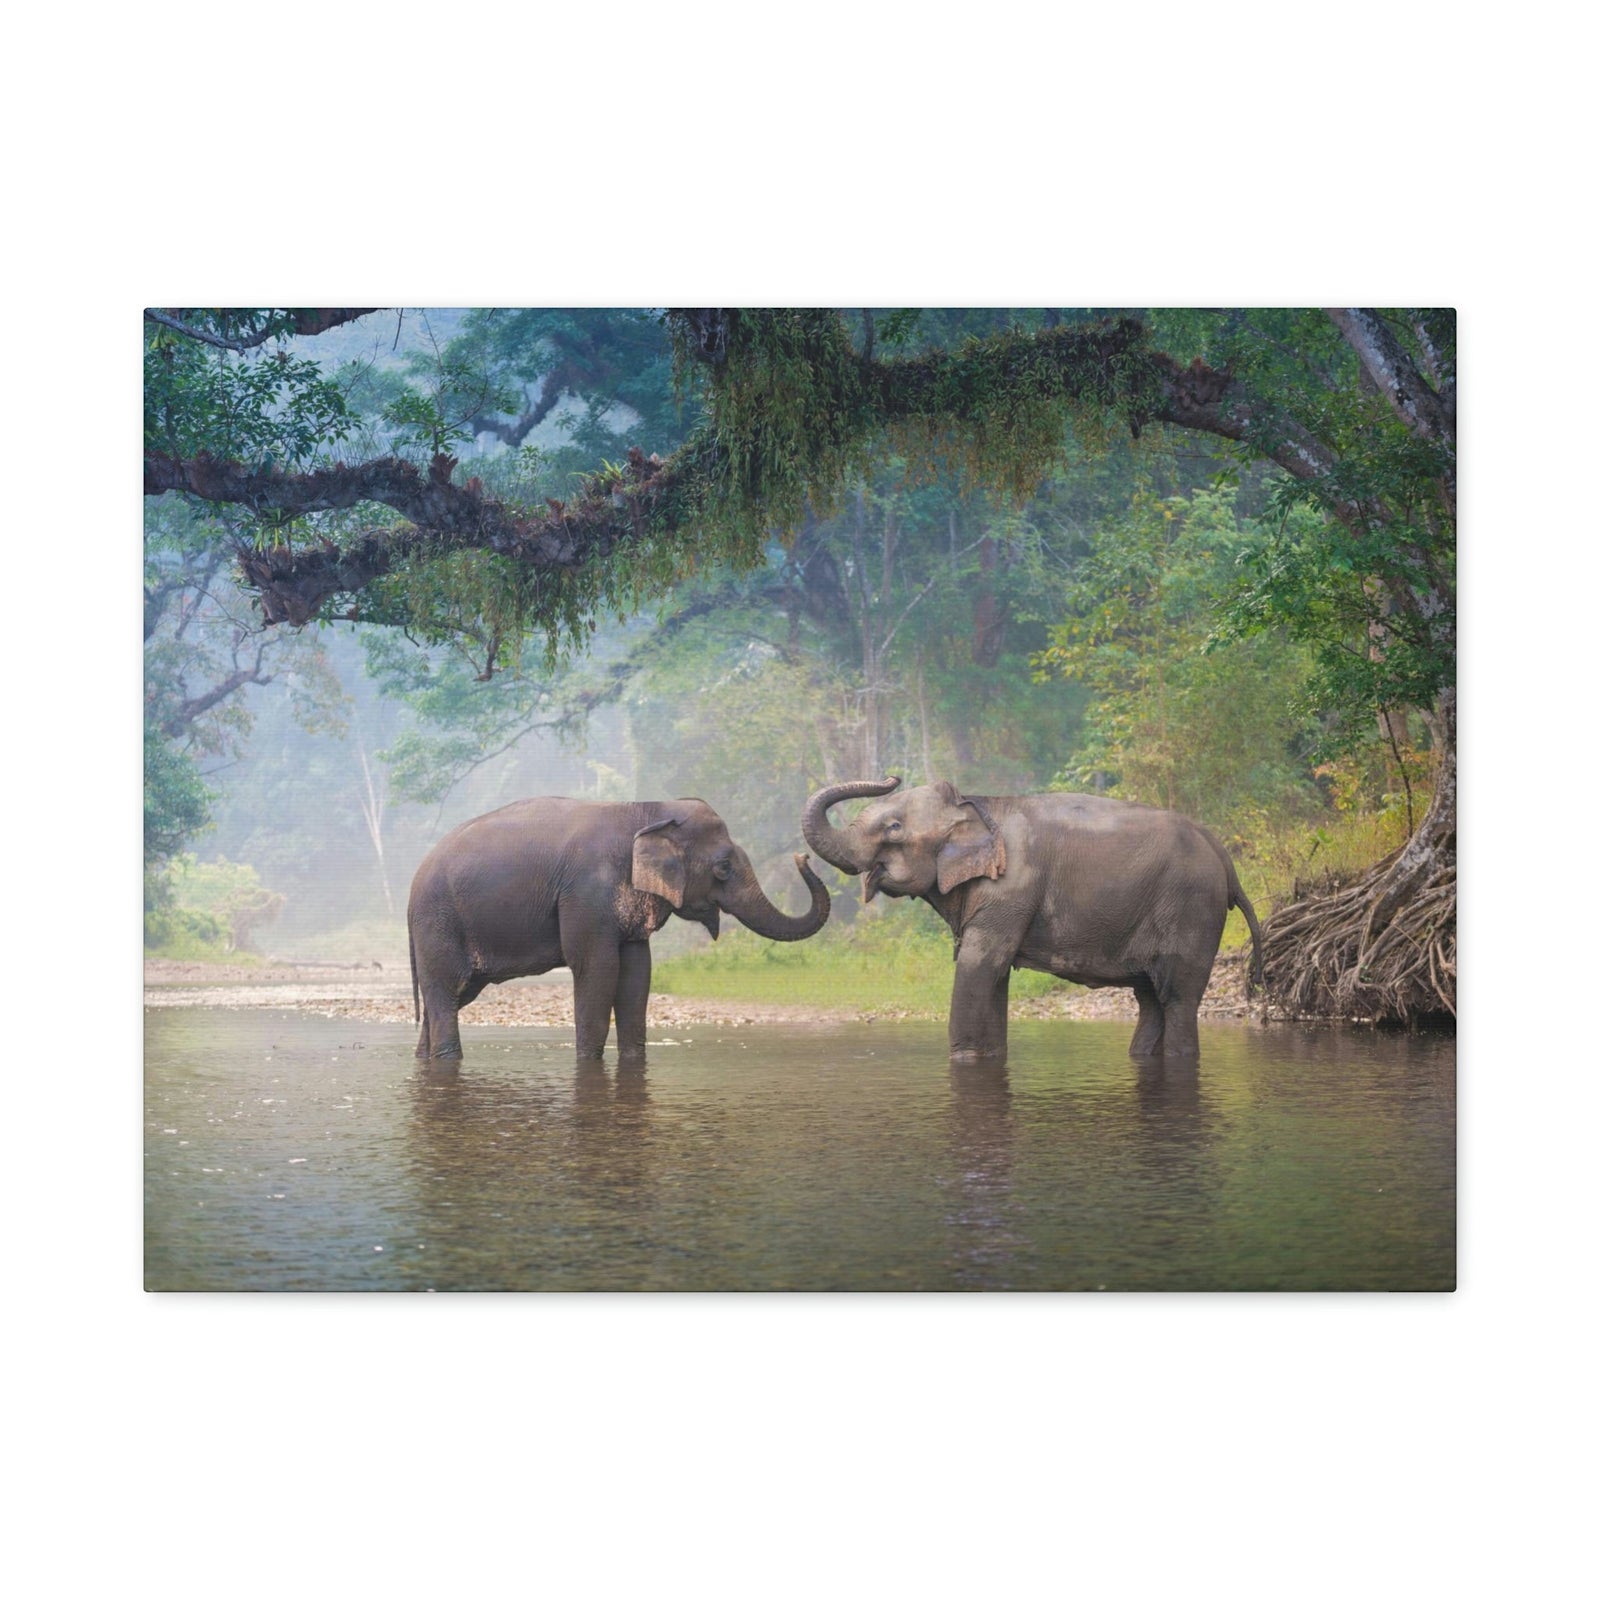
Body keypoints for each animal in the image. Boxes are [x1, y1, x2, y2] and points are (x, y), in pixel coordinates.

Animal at [408, 797, 829, 1062]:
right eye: (723, 867)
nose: (803, 857)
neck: (646, 809)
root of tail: (414, 882)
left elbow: (637, 974)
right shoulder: (586, 893)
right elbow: (597, 969)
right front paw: (588, 1062)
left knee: (451, 996)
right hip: (438, 922)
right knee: (445, 991)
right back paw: (448, 1059)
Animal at [802, 776, 1262, 1063]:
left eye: (894, 827)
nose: (891, 775)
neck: (977, 804)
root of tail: (1225, 860)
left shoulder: (1011, 888)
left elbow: (979, 966)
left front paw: (964, 1059)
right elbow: (994, 977)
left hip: (1191, 909)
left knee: (1177, 998)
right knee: (1150, 999)